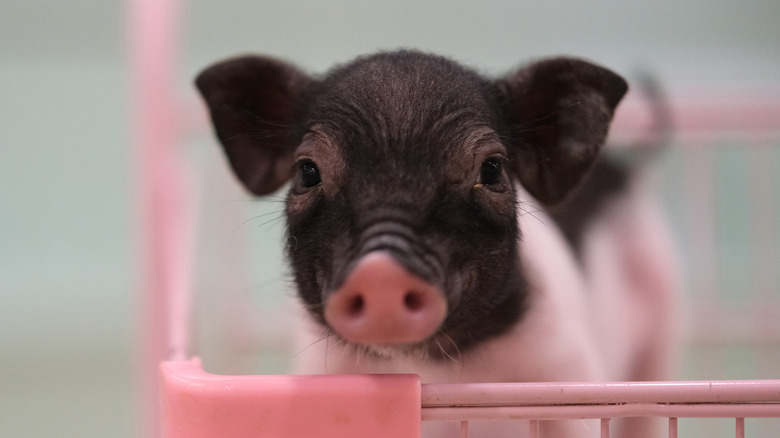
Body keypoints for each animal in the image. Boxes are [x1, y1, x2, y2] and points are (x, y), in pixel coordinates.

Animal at [195, 50, 679, 437]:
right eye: (307, 172)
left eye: (493, 169)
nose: (381, 271)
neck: (431, 367)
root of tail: (622, 167)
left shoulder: (569, 379)